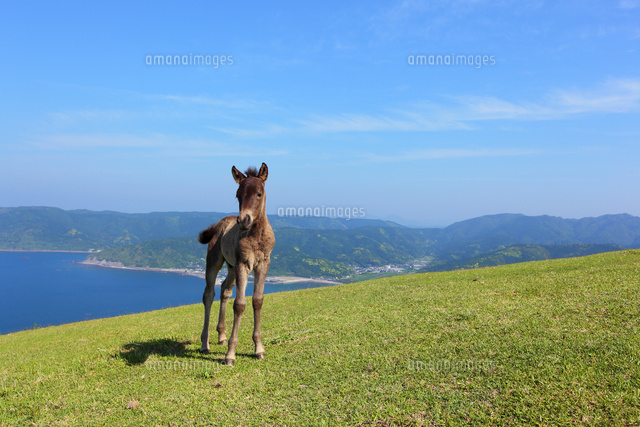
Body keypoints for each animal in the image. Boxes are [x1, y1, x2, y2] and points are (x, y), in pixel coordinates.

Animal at [198, 163, 275, 366]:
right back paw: (205, 344)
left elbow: (257, 301)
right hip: (215, 261)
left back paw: (221, 336)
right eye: (237, 195)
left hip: (231, 267)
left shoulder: (263, 264)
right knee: (209, 295)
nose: (244, 220)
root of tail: (220, 223)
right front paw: (230, 355)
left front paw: (259, 349)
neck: (255, 237)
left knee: (225, 289)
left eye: (259, 193)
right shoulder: (243, 264)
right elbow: (239, 304)